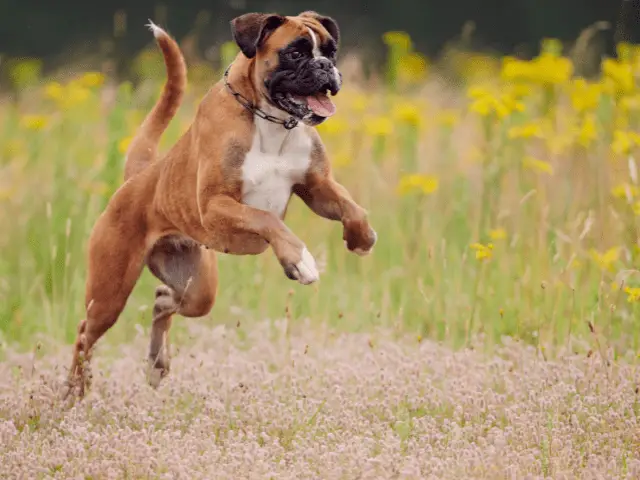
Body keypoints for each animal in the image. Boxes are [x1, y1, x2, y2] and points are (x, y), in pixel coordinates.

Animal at [63, 11, 376, 398]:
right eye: (295, 53)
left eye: (331, 51)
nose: (326, 66)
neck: (270, 120)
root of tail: (140, 177)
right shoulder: (215, 205)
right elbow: (268, 220)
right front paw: (299, 261)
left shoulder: (316, 187)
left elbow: (351, 206)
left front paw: (361, 237)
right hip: (109, 293)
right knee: (84, 335)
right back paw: (75, 390)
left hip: (198, 288)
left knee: (163, 300)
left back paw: (156, 364)